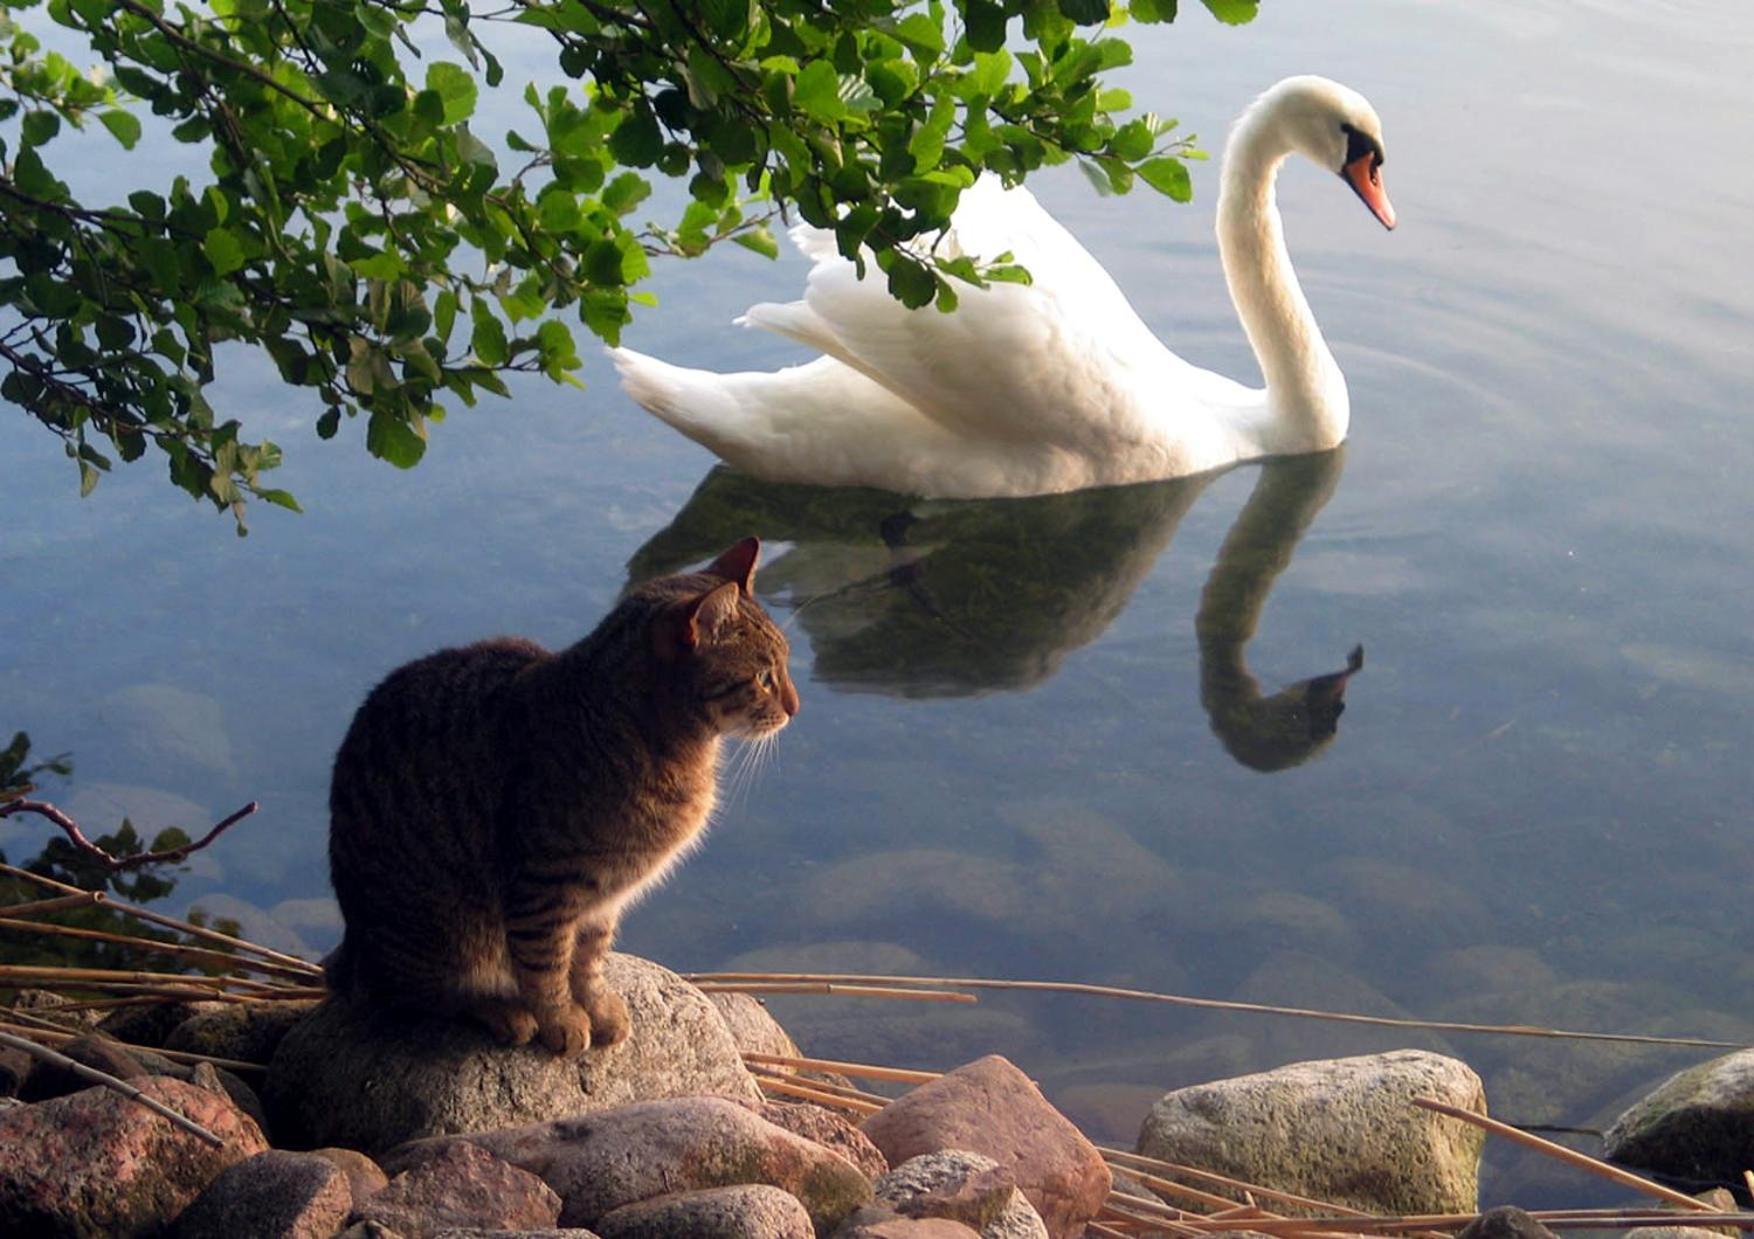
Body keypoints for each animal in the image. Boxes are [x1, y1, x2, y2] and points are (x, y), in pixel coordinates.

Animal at [326, 537, 799, 1052]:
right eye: (764, 678)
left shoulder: (604, 897)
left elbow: (588, 960)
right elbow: (545, 962)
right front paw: (560, 1019)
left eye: (785, 665)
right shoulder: (543, 884)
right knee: (417, 992)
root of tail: (351, 944)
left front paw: (597, 1006)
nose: (795, 707)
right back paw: (498, 1009)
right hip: (442, 927)